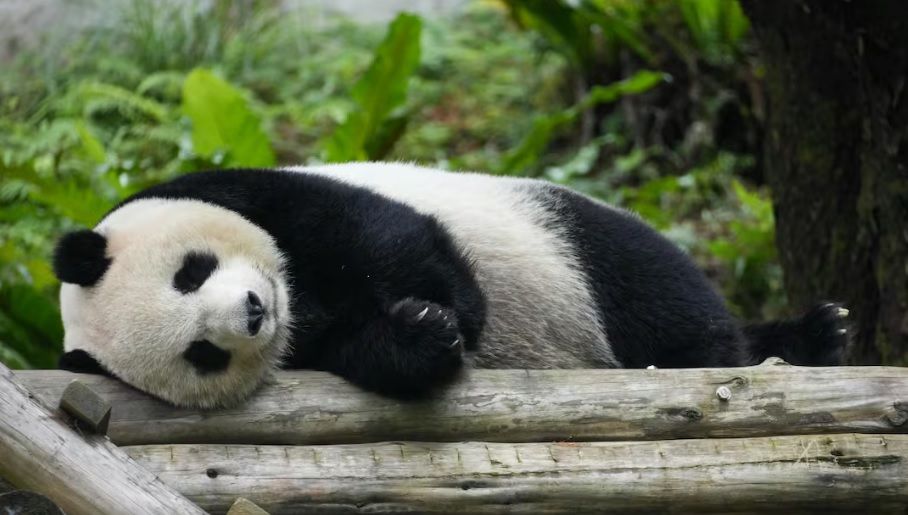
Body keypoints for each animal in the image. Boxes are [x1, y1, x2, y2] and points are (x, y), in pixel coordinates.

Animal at [53, 162, 850, 408]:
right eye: (202, 353)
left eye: (191, 271)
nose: (253, 312)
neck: (298, 300)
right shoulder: (308, 347)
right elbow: (366, 351)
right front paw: (423, 333)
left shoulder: (257, 193)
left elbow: (384, 236)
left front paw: (449, 309)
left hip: (560, 238)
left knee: (658, 298)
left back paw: (802, 337)